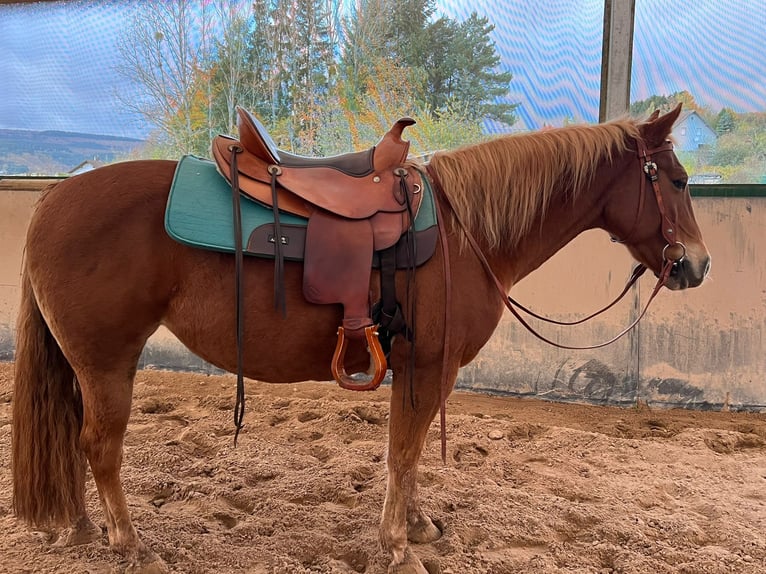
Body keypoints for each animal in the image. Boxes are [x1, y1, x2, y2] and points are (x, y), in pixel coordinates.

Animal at [11, 104, 709, 574]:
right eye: (675, 181)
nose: (696, 266)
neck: (466, 233)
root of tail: (52, 201)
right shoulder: (426, 365)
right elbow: (404, 451)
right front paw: (397, 547)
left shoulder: (427, 369)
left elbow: (413, 450)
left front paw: (417, 526)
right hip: (108, 360)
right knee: (99, 446)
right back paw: (130, 545)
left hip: (84, 365)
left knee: (73, 437)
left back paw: (80, 528)